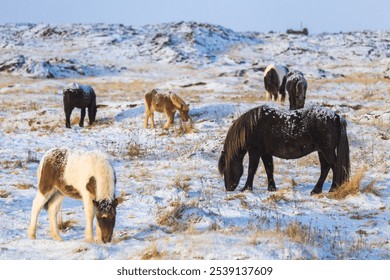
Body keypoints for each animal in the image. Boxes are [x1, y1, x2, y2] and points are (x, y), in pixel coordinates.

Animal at [219, 105, 350, 195]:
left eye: (225, 168)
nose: (228, 188)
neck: (251, 127)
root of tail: (337, 117)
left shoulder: (255, 152)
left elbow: (251, 170)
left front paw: (246, 188)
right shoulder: (265, 153)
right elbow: (269, 169)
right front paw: (271, 188)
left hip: (326, 150)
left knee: (335, 167)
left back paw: (333, 188)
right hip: (321, 151)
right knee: (325, 168)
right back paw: (316, 190)